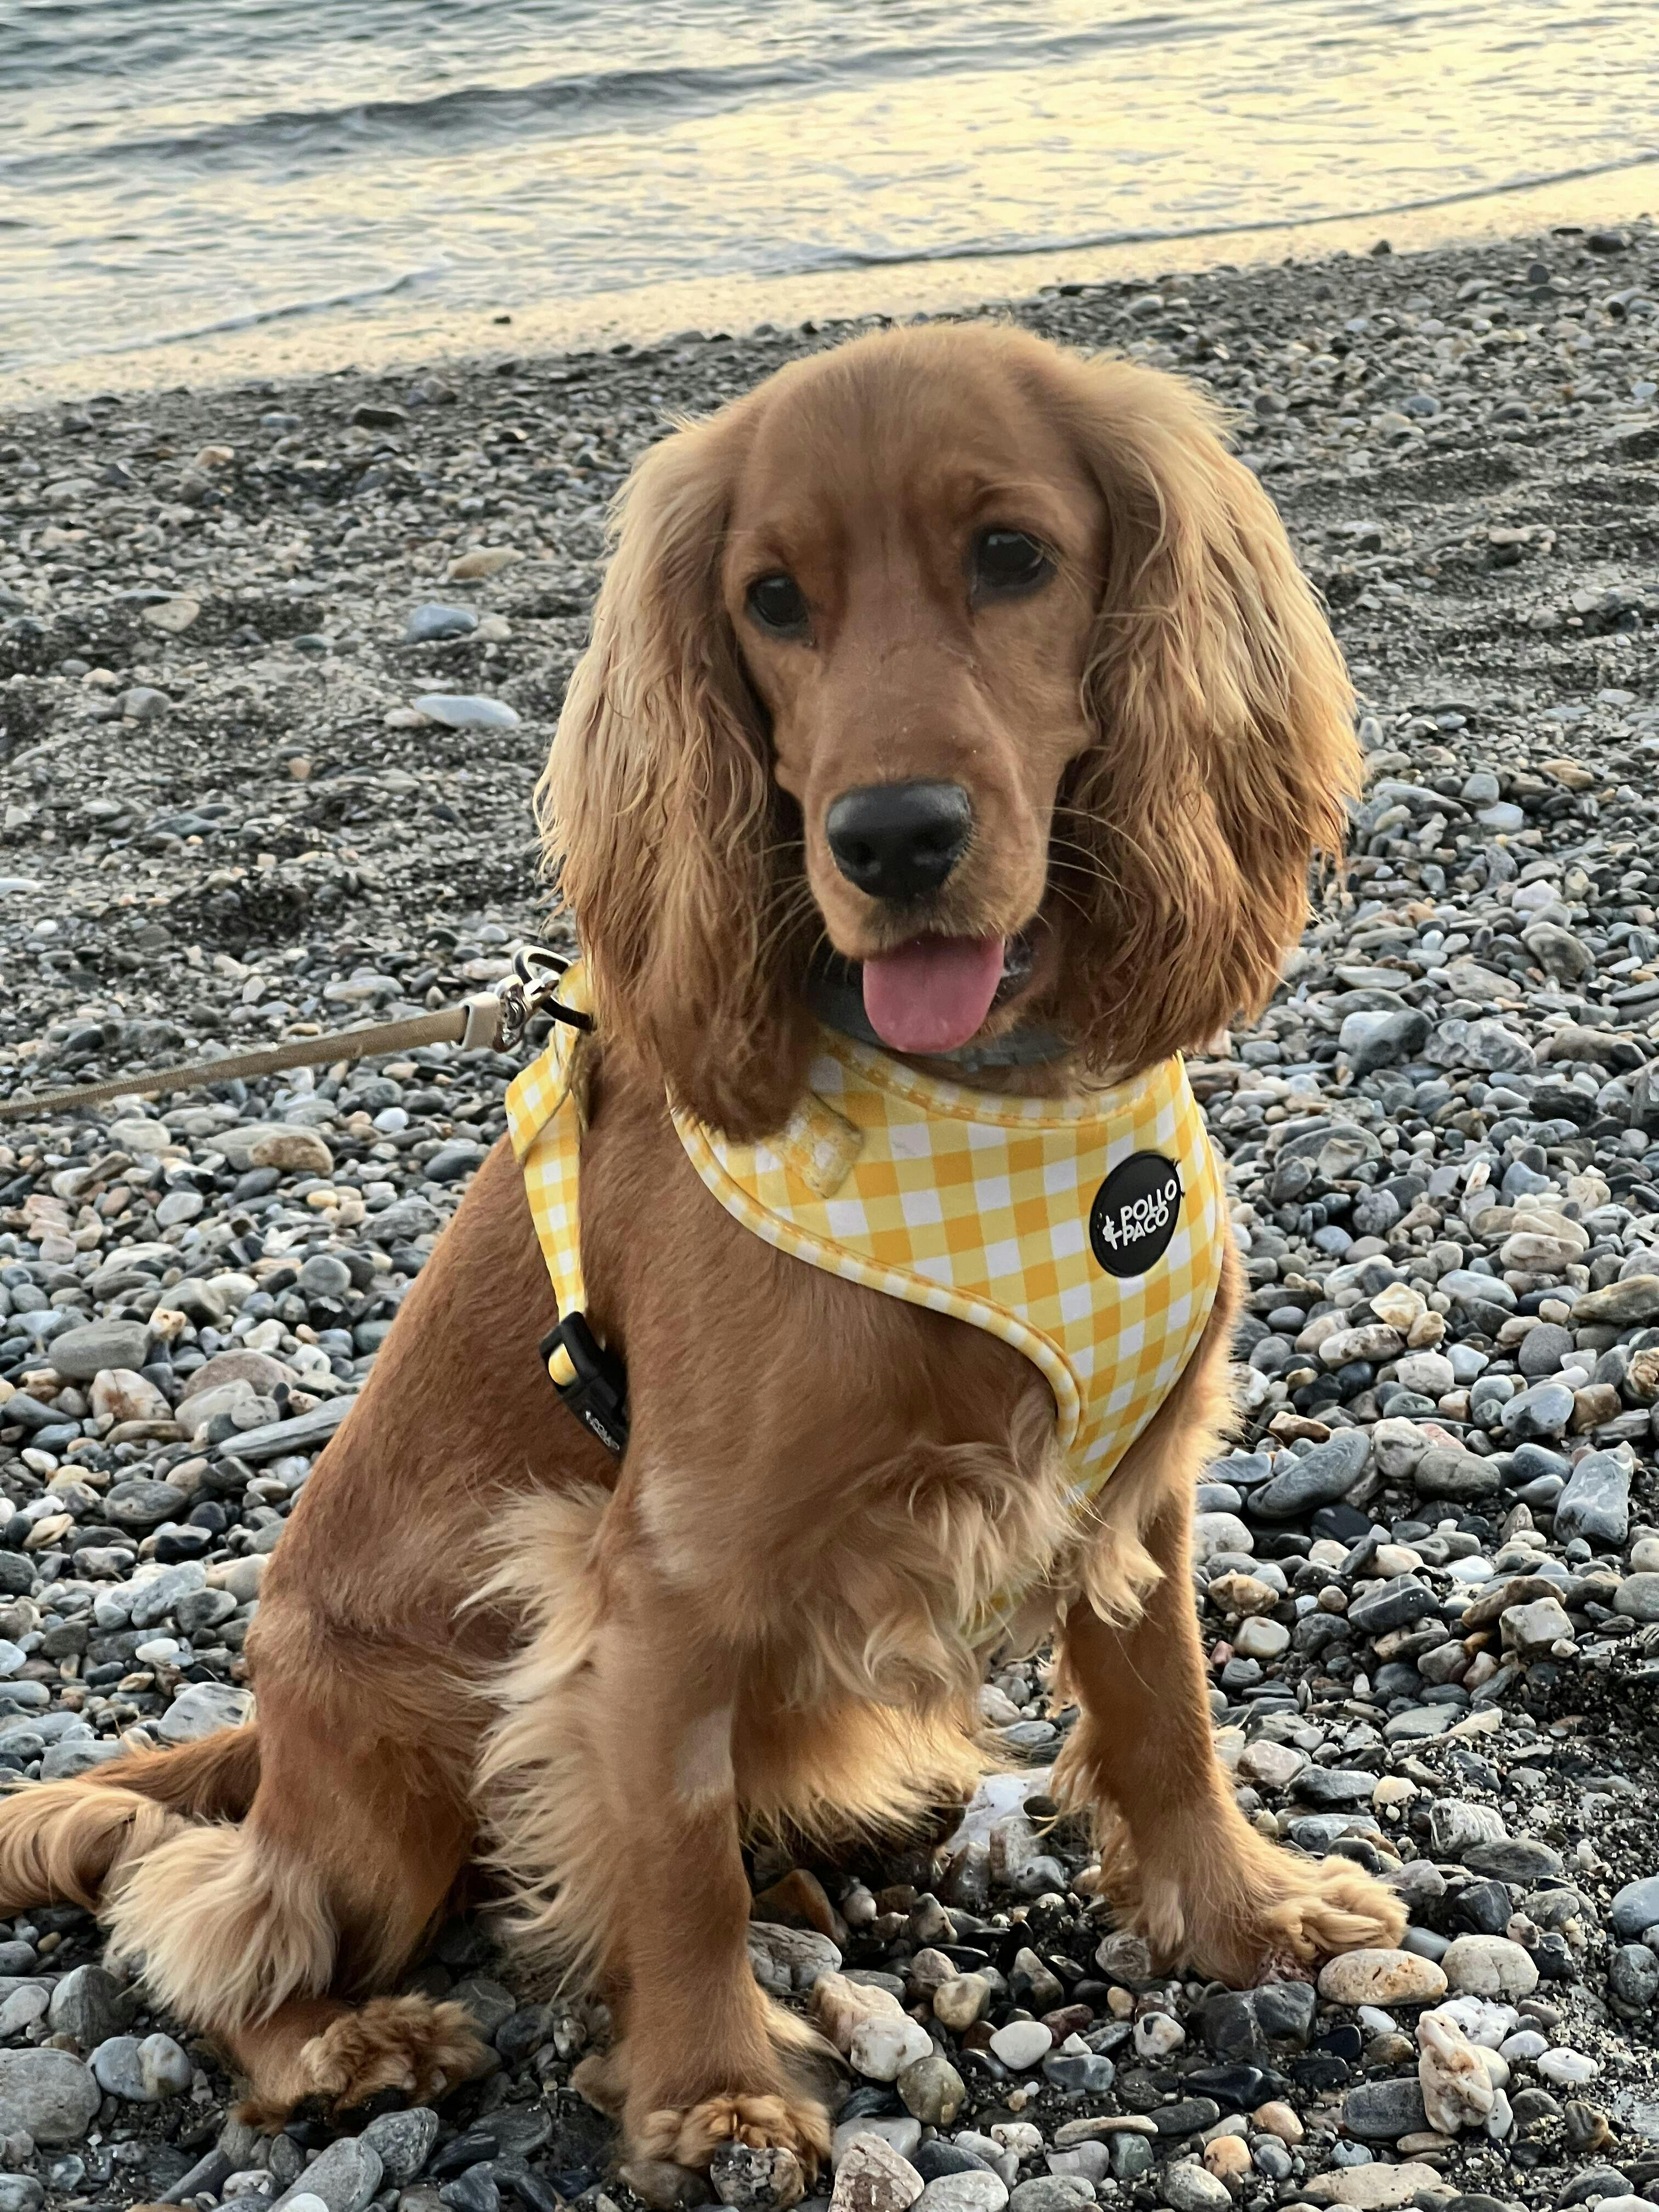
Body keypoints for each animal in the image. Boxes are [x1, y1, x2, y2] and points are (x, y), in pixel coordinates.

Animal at [0, 323, 1404, 2176]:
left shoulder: (1139, 1492)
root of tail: (273, 1735)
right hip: (391, 1767)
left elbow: (1169, 1718)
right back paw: (349, 2045)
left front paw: (1242, 1913)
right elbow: (670, 1862)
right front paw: (711, 2092)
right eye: (773, 599)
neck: (995, 1108)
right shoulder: (654, 1583)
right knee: (222, 1925)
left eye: (1013, 555)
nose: (890, 838)